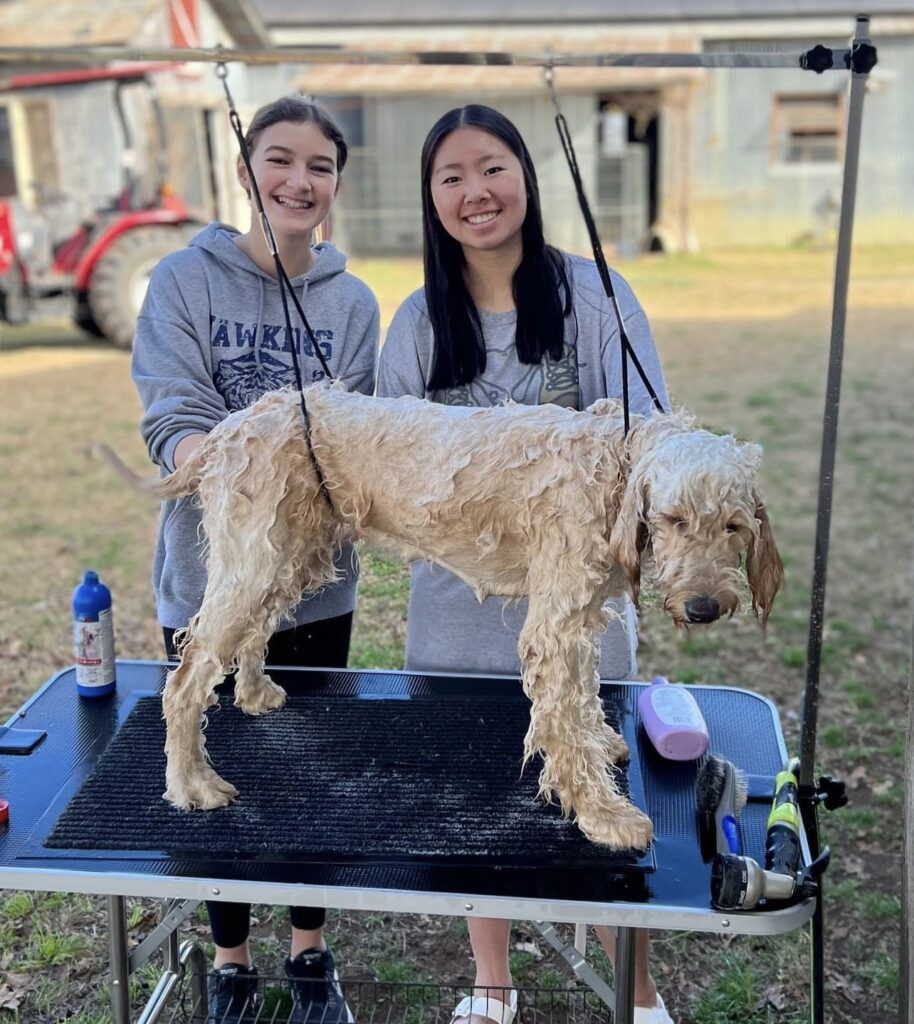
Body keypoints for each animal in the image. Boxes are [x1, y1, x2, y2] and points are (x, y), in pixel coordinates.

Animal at [110, 382, 781, 847]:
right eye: (673, 519)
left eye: (734, 526)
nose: (703, 607)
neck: (612, 468)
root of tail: (235, 424)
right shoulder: (556, 625)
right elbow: (561, 725)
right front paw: (602, 813)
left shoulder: (582, 614)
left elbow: (584, 697)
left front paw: (600, 740)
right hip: (253, 562)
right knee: (187, 677)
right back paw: (192, 783)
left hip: (290, 557)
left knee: (253, 633)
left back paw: (253, 694)